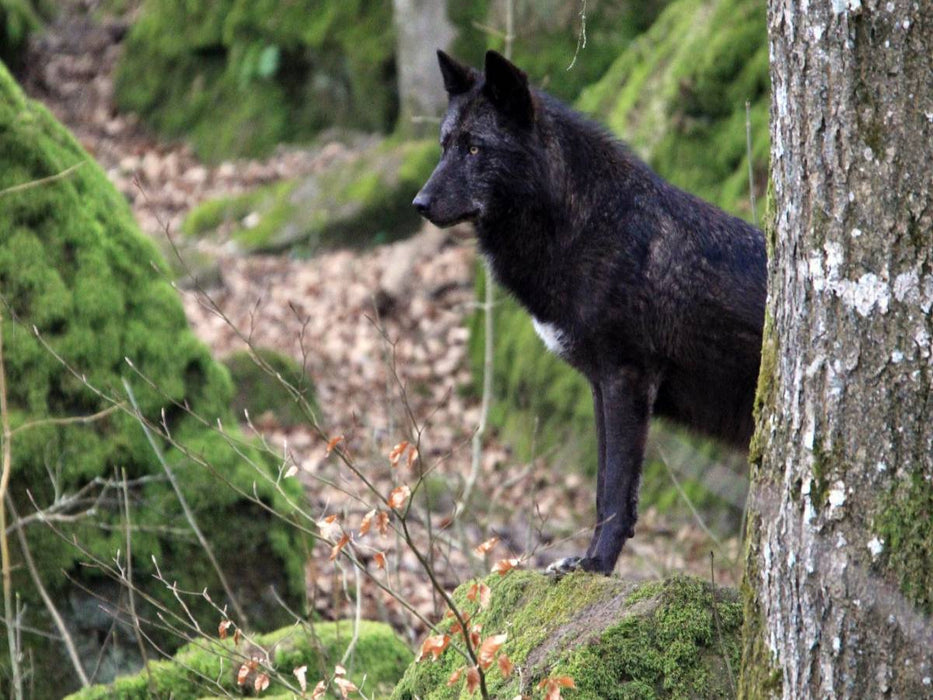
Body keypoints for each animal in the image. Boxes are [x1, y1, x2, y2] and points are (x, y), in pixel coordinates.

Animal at [413, 50, 766, 575]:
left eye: (475, 149)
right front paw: (586, 559)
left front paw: (597, 565)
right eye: (444, 146)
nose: (418, 203)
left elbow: (617, 494)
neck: (590, 226)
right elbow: (603, 491)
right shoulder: (600, 385)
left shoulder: (627, 379)